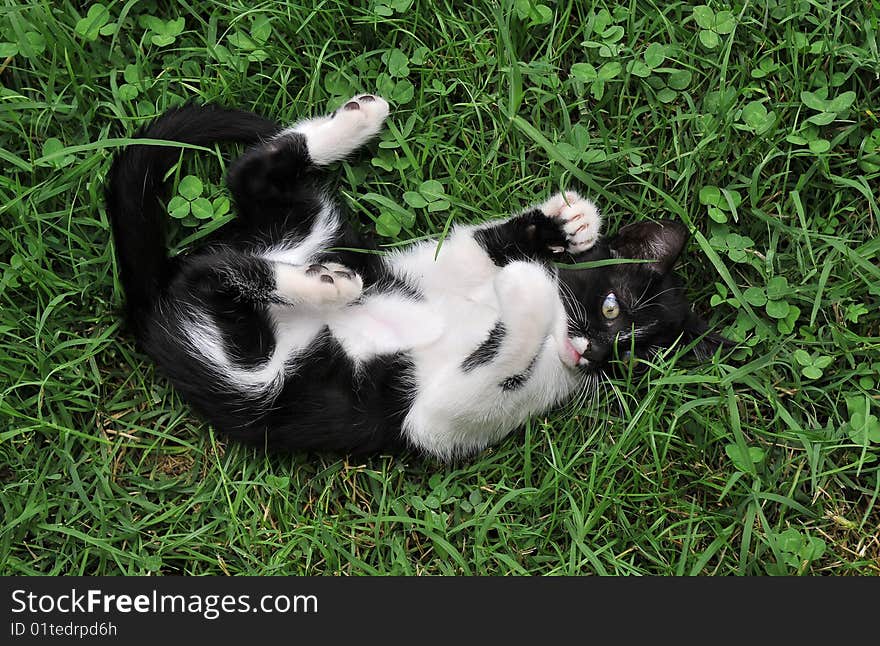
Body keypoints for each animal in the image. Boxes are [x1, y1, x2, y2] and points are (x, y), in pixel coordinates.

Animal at [106, 93, 728, 464]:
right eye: (611, 307)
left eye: (638, 360)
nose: (594, 351)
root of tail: (150, 302)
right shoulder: (439, 270)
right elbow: (479, 246)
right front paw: (566, 225)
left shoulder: (438, 419)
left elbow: (488, 373)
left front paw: (525, 287)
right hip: (317, 233)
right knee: (245, 186)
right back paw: (358, 122)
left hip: (251, 378)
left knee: (214, 272)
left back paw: (321, 282)